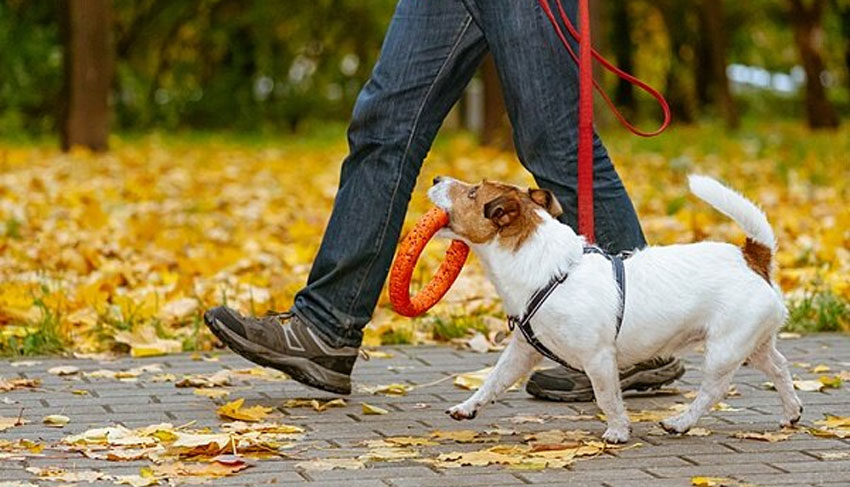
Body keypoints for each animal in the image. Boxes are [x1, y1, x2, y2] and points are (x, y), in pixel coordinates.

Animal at [430, 173, 800, 444]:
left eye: (472, 192)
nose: (435, 177)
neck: (547, 268)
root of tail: (752, 256)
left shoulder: (598, 358)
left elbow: (607, 397)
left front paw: (618, 431)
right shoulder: (523, 351)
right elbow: (493, 381)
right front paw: (467, 407)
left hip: (725, 349)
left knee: (713, 391)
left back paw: (680, 422)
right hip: (754, 345)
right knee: (780, 367)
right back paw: (791, 411)